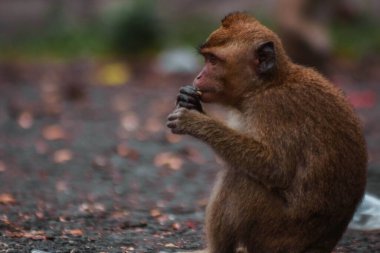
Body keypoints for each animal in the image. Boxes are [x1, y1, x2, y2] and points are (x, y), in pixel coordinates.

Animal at [166, 12, 366, 253]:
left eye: (213, 61)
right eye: (206, 59)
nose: (198, 77)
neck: (267, 85)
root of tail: (320, 246)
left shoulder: (275, 107)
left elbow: (276, 167)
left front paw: (195, 121)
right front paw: (190, 100)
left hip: (277, 234)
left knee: (238, 178)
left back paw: (216, 249)